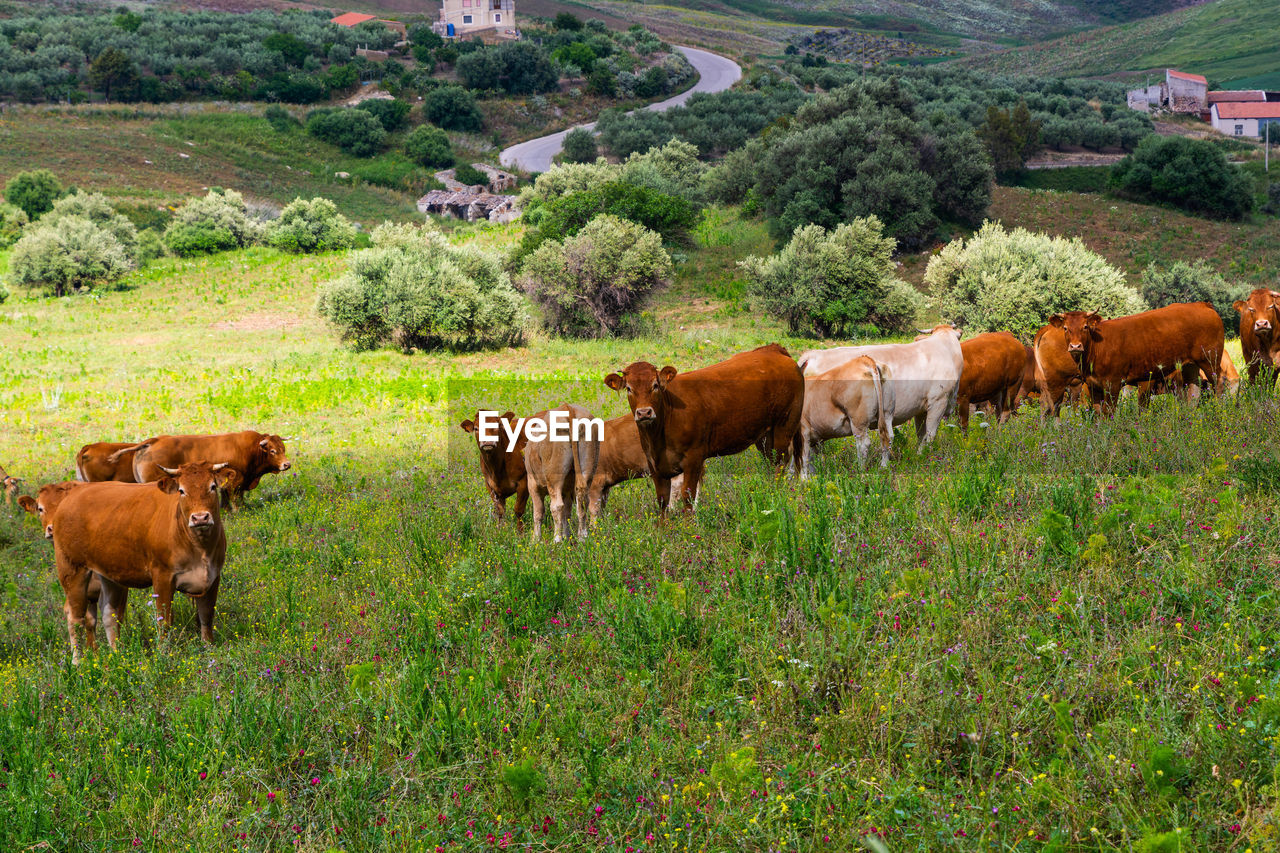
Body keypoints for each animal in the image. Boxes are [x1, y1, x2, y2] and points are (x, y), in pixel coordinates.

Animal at [49, 461, 235, 660]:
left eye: (212, 487)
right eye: (182, 490)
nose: (200, 517)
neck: (200, 548)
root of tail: (73, 494)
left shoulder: (213, 576)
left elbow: (206, 615)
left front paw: (209, 649)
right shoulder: (162, 577)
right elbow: (164, 621)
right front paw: (164, 654)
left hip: (110, 573)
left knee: (109, 613)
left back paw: (117, 654)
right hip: (72, 570)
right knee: (75, 618)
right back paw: (78, 661)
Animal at [604, 340, 803, 512]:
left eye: (655, 385)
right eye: (628, 388)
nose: (644, 413)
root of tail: (773, 350)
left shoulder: (694, 458)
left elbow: (688, 496)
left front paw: (688, 528)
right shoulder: (655, 464)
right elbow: (662, 500)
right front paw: (664, 530)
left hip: (785, 425)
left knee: (781, 463)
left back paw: (777, 496)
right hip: (764, 435)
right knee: (771, 462)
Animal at [1044, 302, 1223, 414]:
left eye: (1085, 327)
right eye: (1065, 328)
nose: (1075, 346)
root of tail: (1201, 304)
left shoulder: (1113, 383)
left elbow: (1108, 412)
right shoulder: (1093, 385)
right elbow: (1098, 414)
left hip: (1210, 361)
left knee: (1219, 385)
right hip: (1190, 365)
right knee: (1194, 392)